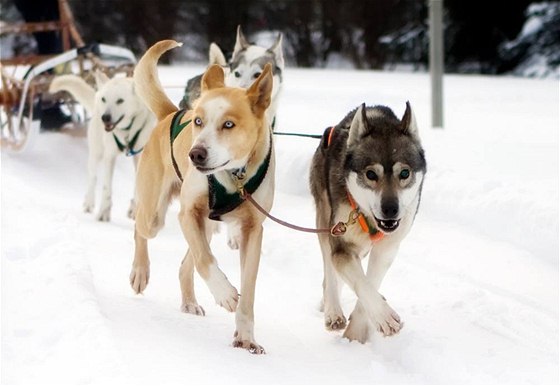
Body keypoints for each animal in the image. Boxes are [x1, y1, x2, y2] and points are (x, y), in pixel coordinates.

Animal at [49, 72, 155, 222]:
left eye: (120, 101)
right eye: (105, 99)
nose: (105, 117)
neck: (127, 132)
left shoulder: (141, 156)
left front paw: (135, 210)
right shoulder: (109, 156)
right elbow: (106, 188)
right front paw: (104, 212)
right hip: (96, 152)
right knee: (92, 177)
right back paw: (89, 202)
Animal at [127, 40, 276, 354]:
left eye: (229, 124)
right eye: (198, 121)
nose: (194, 154)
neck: (234, 176)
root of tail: (169, 114)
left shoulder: (252, 230)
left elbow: (248, 291)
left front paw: (246, 336)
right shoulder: (188, 213)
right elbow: (206, 262)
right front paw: (225, 293)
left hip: (206, 226)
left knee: (188, 263)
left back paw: (189, 302)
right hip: (157, 216)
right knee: (142, 230)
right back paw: (140, 272)